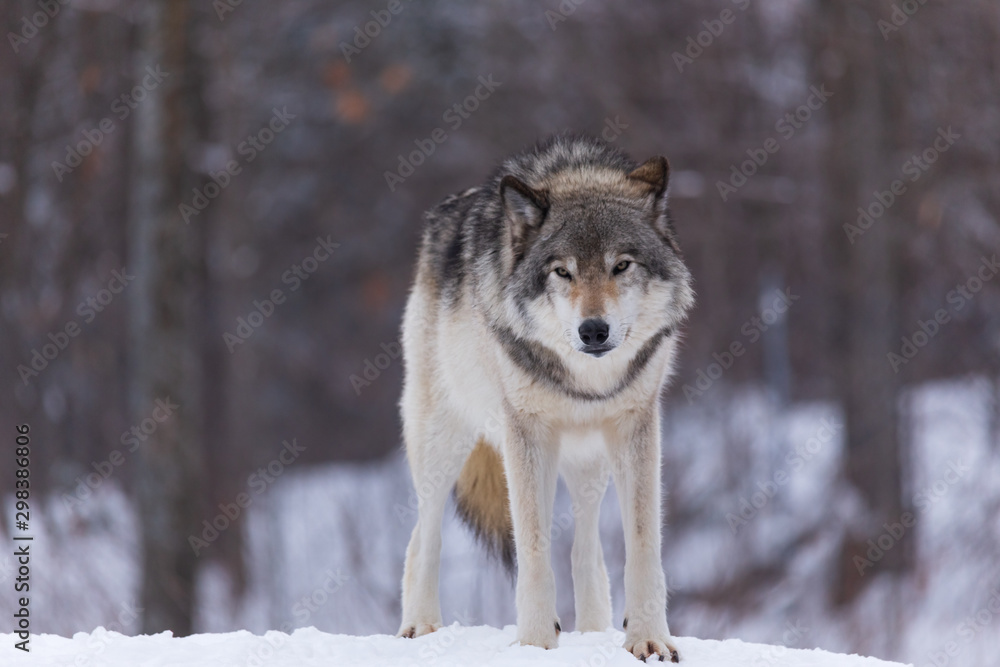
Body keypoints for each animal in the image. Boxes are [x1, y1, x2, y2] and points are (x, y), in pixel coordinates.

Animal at [396, 135, 694, 662]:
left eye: (621, 265)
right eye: (562, 272)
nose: (593, 330)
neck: (586, 379)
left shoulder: (635, 426)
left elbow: (642, 545)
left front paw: (648, 639)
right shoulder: (526, 432)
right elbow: (533, 547)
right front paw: (535, 643)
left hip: (587, 458)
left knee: (586, 551)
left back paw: (593, 633)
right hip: (442, 440)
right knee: (422, 536)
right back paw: (420, 627)